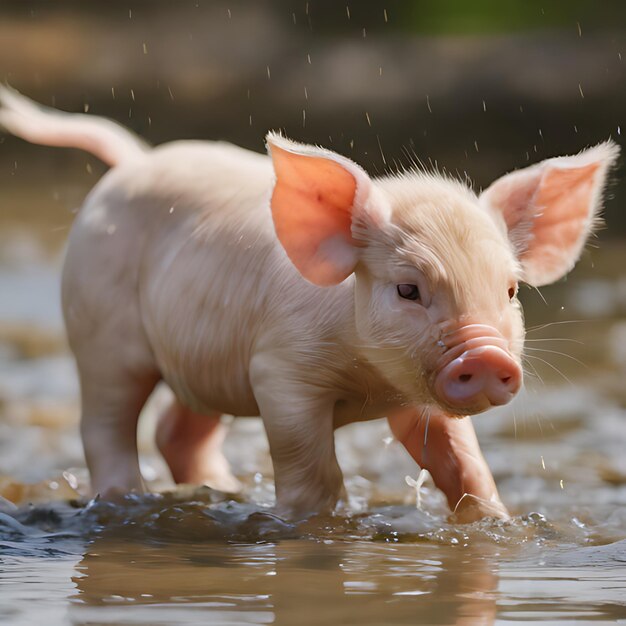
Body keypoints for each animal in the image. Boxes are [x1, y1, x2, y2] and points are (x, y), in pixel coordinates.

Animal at [0, 85, 616, 520]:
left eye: (509, 290)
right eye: (408, 289)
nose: (486, 358)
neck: (368, 381)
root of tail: (132, 160)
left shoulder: (413, 394)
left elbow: (463, 465)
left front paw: (497, 522)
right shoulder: (279, 371)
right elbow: (313, 470)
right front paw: (306, 524)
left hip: (203, 354)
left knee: (176, 429)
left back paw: (222, 490)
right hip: (100, 331)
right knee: (105, 423)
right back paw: (126, 500)